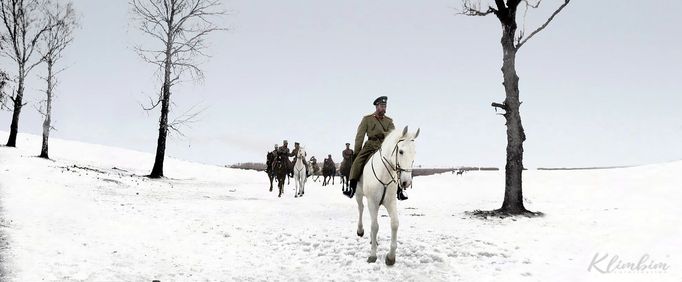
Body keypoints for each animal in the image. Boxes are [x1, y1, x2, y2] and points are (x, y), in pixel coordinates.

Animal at [354, 126, 418, 266]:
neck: (384, 174)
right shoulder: (372, 202)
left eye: (414, 153)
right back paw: (360, 230)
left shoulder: (390, 202)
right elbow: (374, 226)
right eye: (401, 151)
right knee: (360, 208)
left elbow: (394, 224)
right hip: (359, 194)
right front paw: (373, 255)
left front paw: (391, 257)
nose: (406, 182)